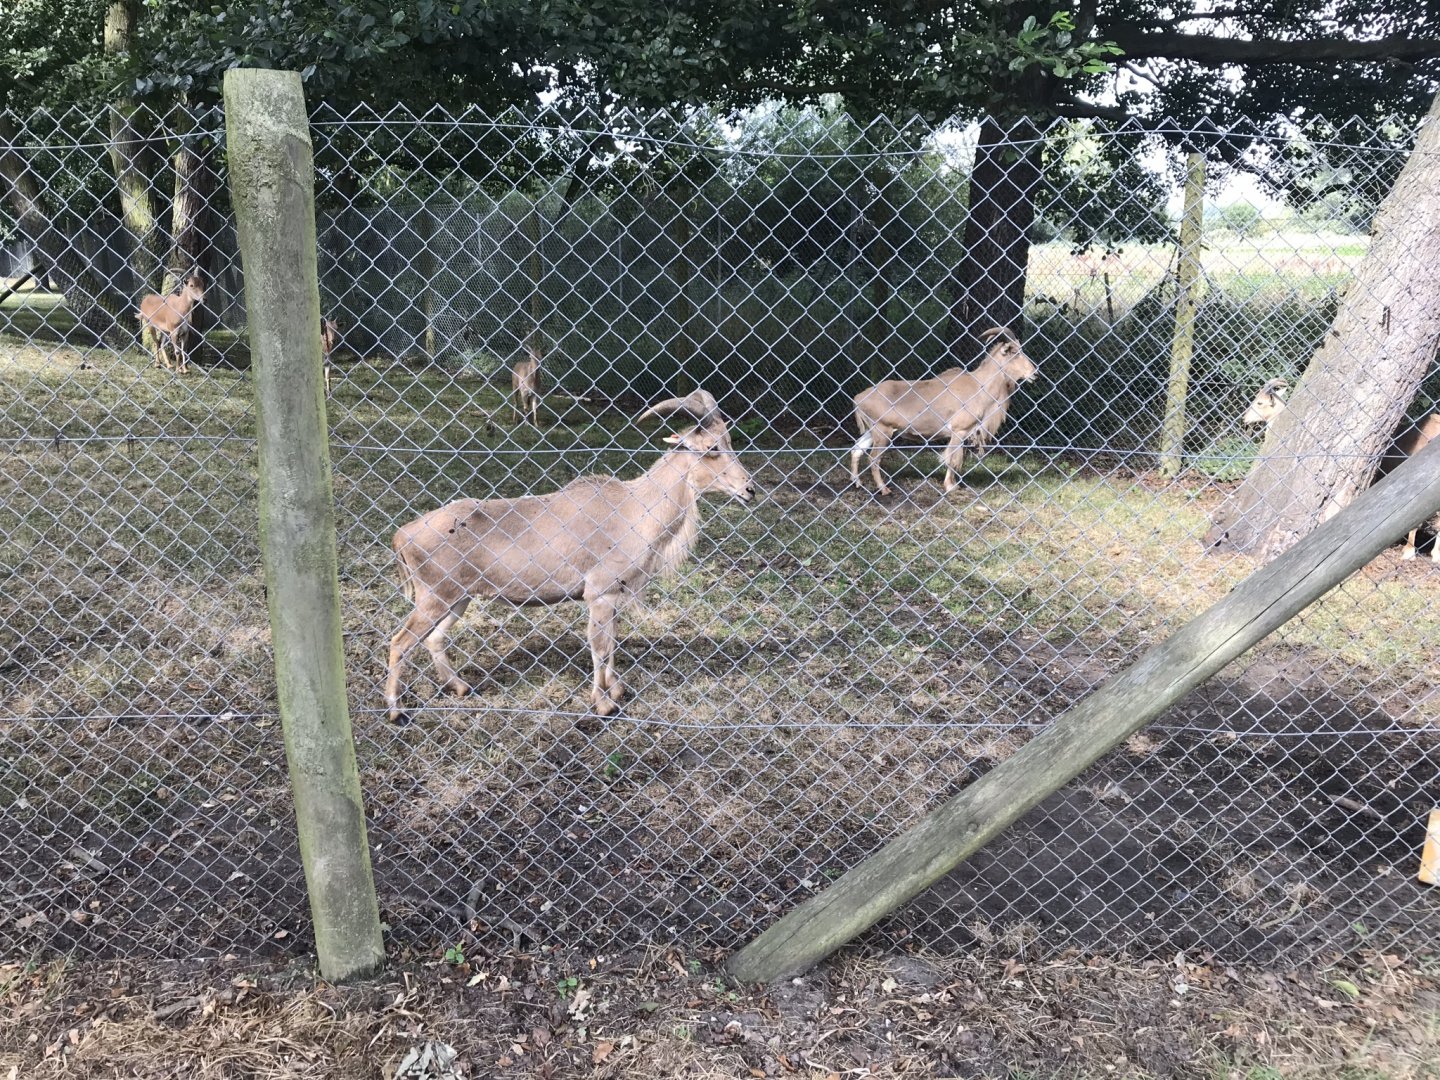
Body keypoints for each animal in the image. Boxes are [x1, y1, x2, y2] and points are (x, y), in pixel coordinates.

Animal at [384, 388, 755, 724]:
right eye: (712, 448)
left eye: (729, 441)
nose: (749, 489)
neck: (635, 508)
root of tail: (402, 535)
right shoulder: (600, 594)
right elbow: (600, 648)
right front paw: (604, 705)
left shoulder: (614, 596)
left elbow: (611, 645)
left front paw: (617, 690)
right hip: (434, 598)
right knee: (400, 643)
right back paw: (396, 711)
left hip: (457, 599)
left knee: (434, 639)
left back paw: (460, 687)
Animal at [849, 327, 1037, 495]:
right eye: (1015, 352)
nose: (1035, 373)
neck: (979, 386)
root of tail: (859, 398)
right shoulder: (959, 431)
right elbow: (952, 459)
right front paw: (951, 486)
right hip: (883, 431)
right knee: (873, 458)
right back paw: (884, 489)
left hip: (871, 431)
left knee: (856, 451)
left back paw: (857, 483)